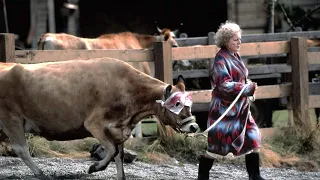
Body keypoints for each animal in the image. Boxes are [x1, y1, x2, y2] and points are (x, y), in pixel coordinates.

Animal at [0, 58, 198, 180]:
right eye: (177, 104)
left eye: (190, 103)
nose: (194, 127)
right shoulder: (94, 124)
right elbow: (111, 151)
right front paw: (93, 168)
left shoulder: (119, 130)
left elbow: (119, 156)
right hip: (11, 118)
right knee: (22, 149)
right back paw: (41, 173)